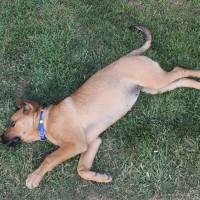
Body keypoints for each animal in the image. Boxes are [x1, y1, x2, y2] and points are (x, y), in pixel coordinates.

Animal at [1, 25, 200, 189]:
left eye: (12, 123)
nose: (1, 140)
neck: (45, 121)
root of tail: (129, 56)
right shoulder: (92, 142)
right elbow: (81, 169)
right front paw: (99, 177)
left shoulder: (75, 144)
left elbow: (50, 158)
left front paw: (35, 177)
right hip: (155, 87)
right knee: (182, 80)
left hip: (155, 80)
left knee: (179, 70)